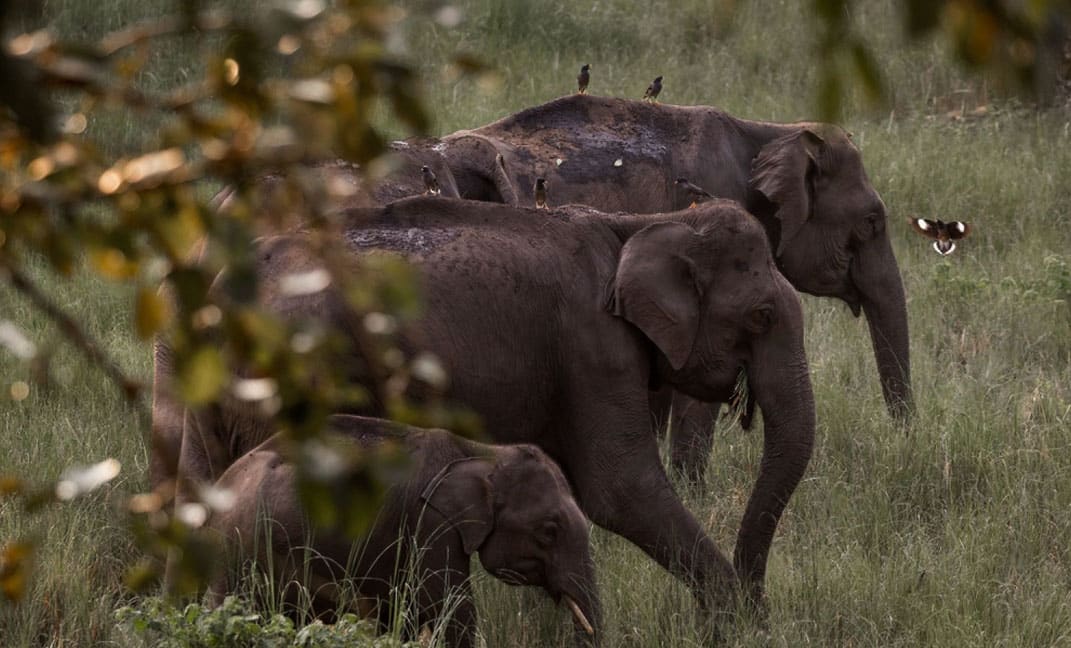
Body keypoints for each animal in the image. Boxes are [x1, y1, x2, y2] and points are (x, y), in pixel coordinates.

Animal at [156, 199, 809, 612]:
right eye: (762, 316)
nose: (757, 596)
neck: (646, 223)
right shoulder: (593, 348)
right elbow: (619, 489)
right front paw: (741, 624)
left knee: (199, 487)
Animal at [204, 413, 599, 646]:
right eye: (549, 530)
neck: (484, 451)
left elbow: (400, 610)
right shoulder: (429, 522)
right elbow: (448, 604)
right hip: (238, 549)